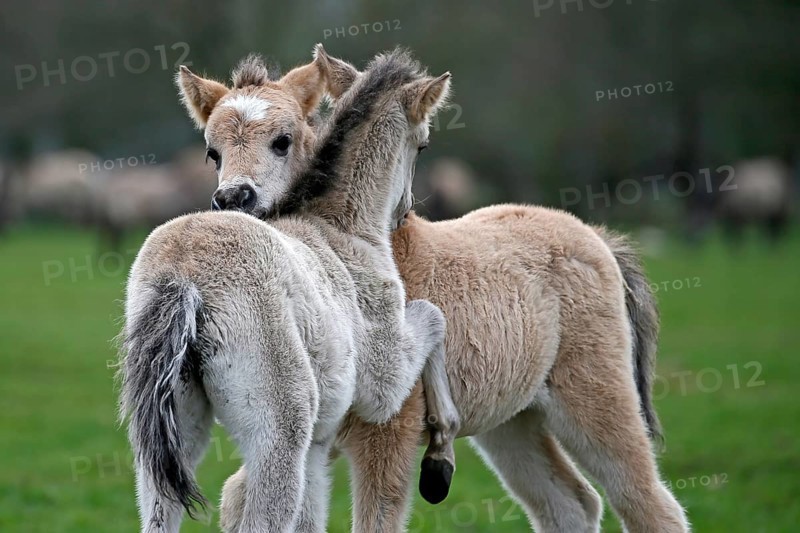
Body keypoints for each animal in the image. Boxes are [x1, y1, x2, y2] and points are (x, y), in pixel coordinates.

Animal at [118, 46, 454, 532]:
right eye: (423, 144)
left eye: (283, 140)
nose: (404, 213)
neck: (339, 226)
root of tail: (183, 277)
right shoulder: (385, 378)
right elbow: (433, 315)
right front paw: (440, 457)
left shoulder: (318, 446)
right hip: (278, 432)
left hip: (170, 434)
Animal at [218, 51, 690, 532]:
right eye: (213, 151)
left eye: (283, 141)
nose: (234, 198)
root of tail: (595, 236)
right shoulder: (310, 438)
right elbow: (241, 502)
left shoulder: (389, 434)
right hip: (511, 420)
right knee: (570, 504)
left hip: (596, 395)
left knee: (647, 503)